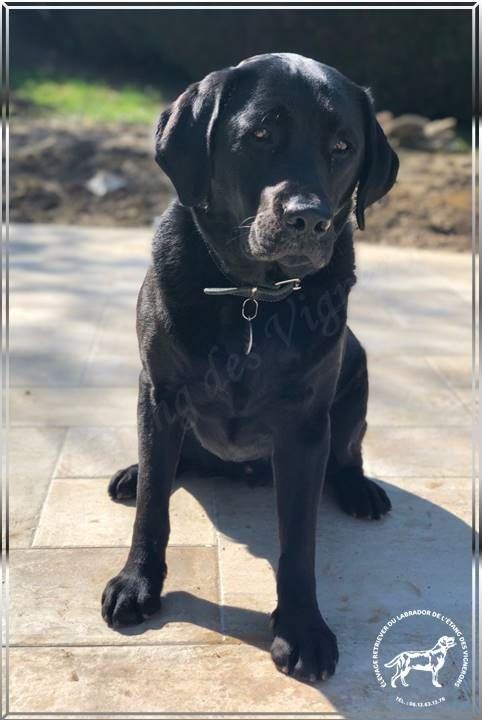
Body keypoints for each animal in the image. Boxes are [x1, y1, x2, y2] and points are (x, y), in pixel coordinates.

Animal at [100, 53, 398, 684]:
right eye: (260, 134)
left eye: (343, 146)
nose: (308, 219)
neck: (252, 298)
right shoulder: (159, 392)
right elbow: (153, 511)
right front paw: (138, 584)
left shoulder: (306, 427)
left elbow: (299, 542)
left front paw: (302, 629)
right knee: (164, 466)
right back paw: (135, 472)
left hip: (357, 366)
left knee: (349, 450)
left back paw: (359, 490)